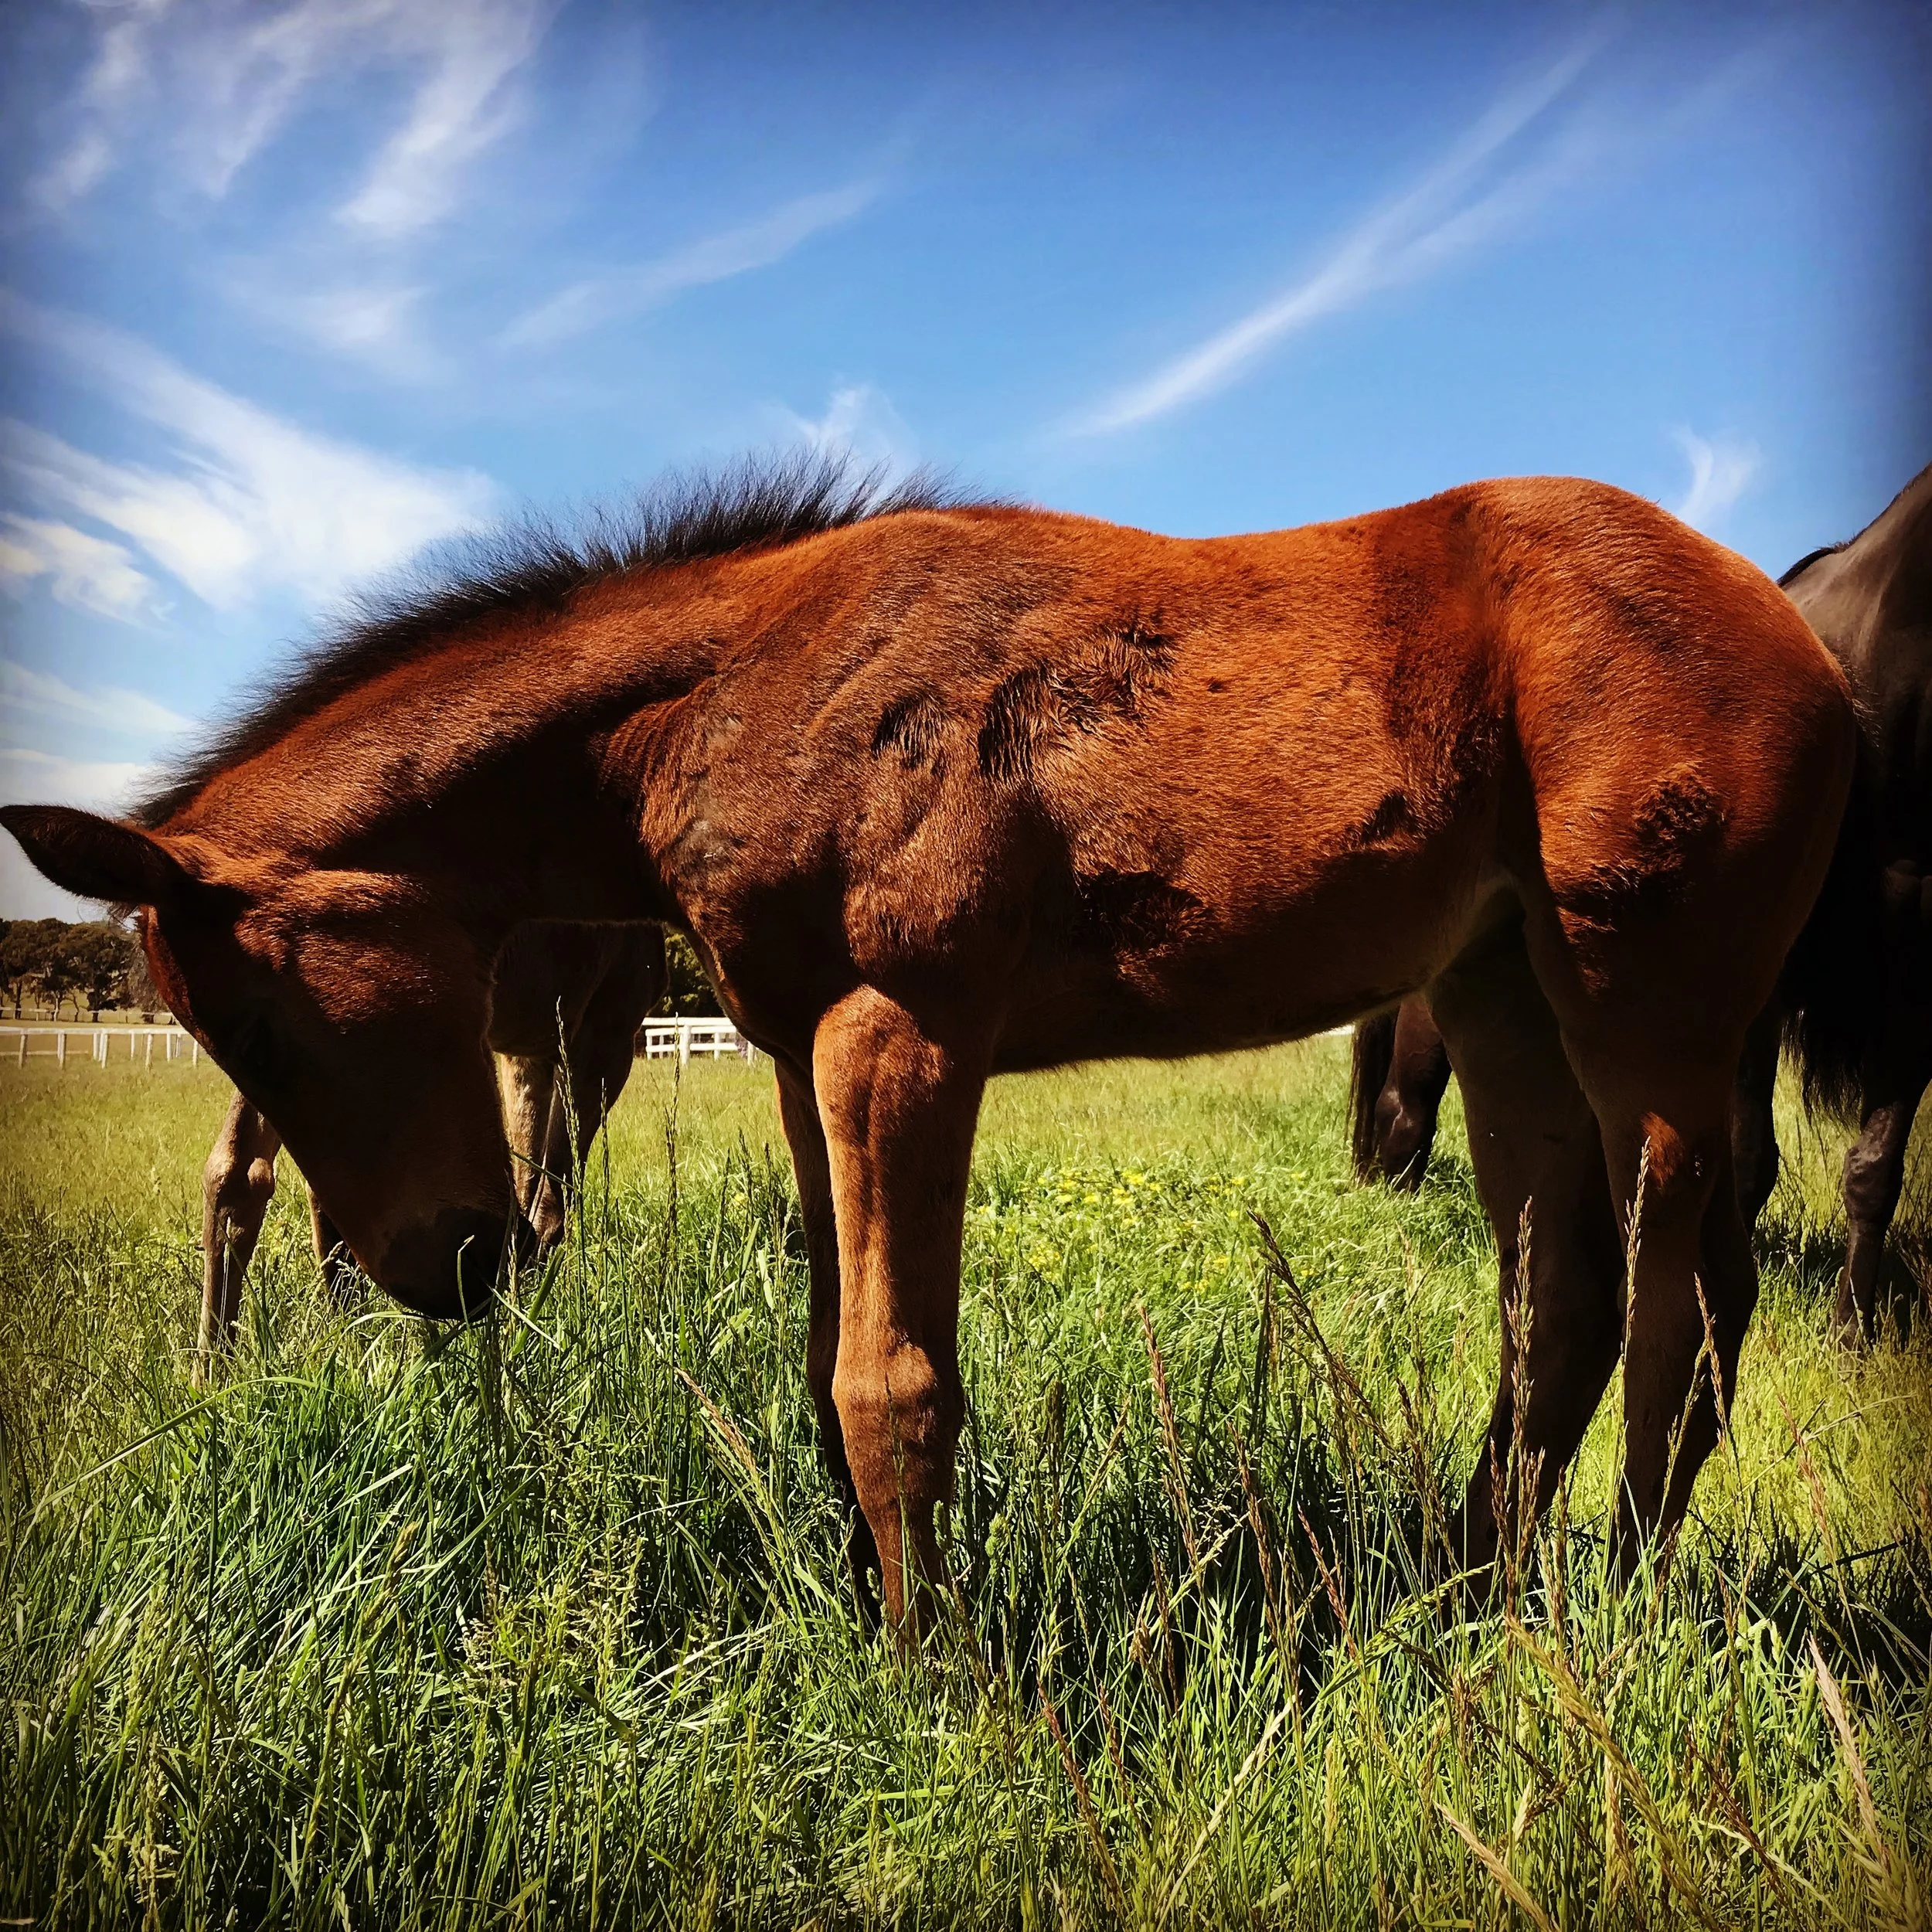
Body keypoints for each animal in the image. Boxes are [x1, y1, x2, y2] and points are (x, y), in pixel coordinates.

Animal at [197, 920, 665, 1383]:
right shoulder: (605, 1028)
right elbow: (548, 1199)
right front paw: (526, 1315)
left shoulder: (529, 1049)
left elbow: (530, 1181)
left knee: (241, 1169)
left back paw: (223, 1370)